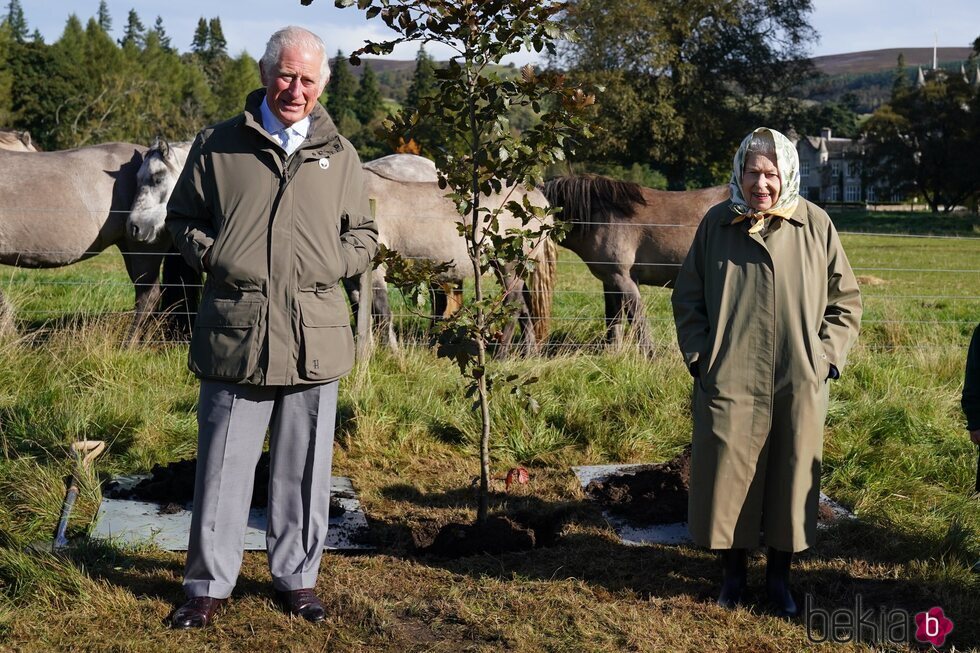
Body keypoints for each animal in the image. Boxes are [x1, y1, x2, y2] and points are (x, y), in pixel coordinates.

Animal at [544, 173, 728, 354]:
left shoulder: (623, 279)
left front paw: (649, 356)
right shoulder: (610, 281)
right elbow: (613, 319)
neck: (601, 216)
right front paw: (613, 354)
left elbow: (637, 319)